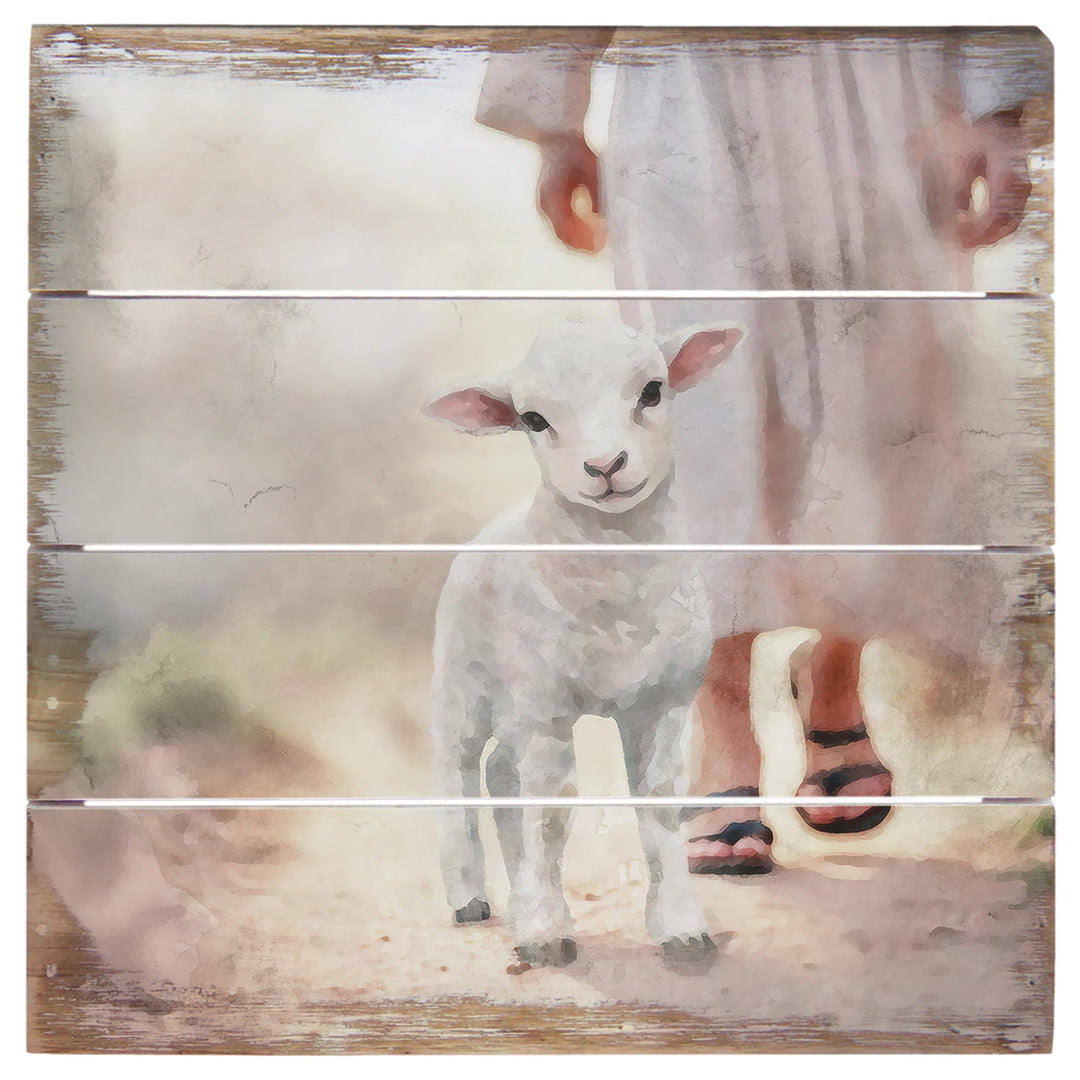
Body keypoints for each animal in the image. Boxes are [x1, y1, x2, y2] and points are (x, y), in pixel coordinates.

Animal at [424, 318, 745, 969]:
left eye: (653, 389)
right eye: (532, 419)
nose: (605, 466)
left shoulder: (662, 704)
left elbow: (660, 804)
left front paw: (681, 929)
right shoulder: (547, 709)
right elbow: (551, 811)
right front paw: (548, 933)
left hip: (517, 705)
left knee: (501, 774)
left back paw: (517, 898)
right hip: (465, 685)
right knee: (458, 777)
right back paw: (470, 897)